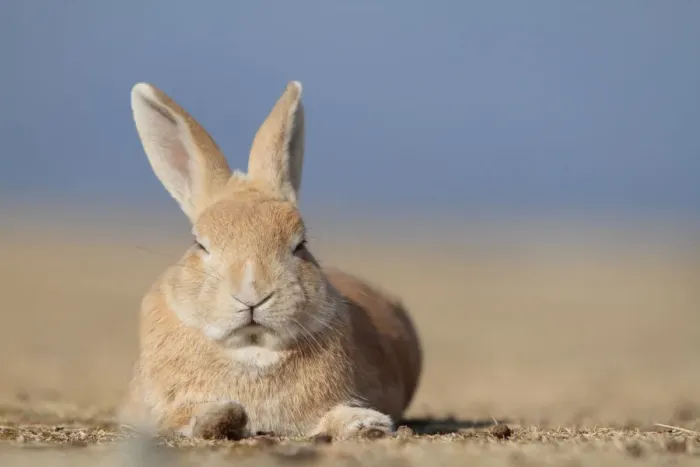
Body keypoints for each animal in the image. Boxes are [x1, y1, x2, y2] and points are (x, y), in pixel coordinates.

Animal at [119, 80, 423, 440]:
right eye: (199, 244)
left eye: (300, 244)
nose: (252, 293)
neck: (253, 349)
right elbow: (183, 416)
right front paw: (221, 416)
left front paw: (367, 424)